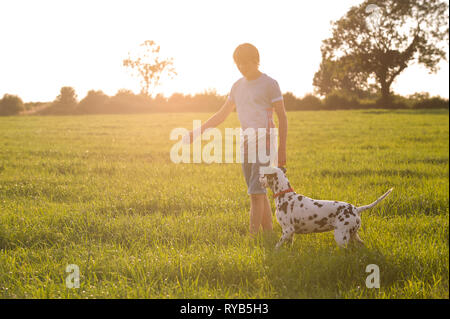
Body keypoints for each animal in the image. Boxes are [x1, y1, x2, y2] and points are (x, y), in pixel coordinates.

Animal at [258, 168, 392, 250]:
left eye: (263, 174)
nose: (258, 177)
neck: (285, 196)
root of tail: (356, 209)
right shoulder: (290, 233)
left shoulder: (287, 230)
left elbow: (277, 246)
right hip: (354, 235)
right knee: (362, 245)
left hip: (341, 237)